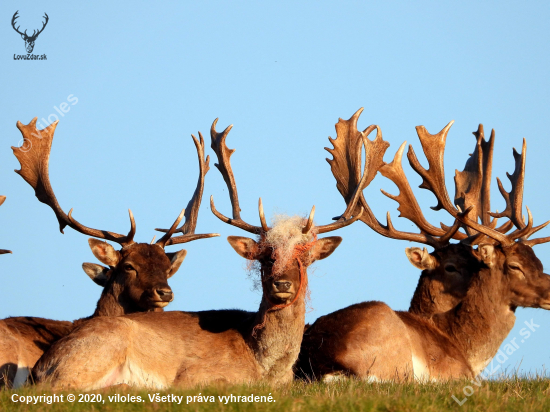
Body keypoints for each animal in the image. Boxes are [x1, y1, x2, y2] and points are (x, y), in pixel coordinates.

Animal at [32, 118, 364, 390]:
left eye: (304, 259)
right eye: (264, 257)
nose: (282, 284)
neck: (264, 368)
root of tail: (39, 368)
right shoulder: (194, 375)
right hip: (96, 352)